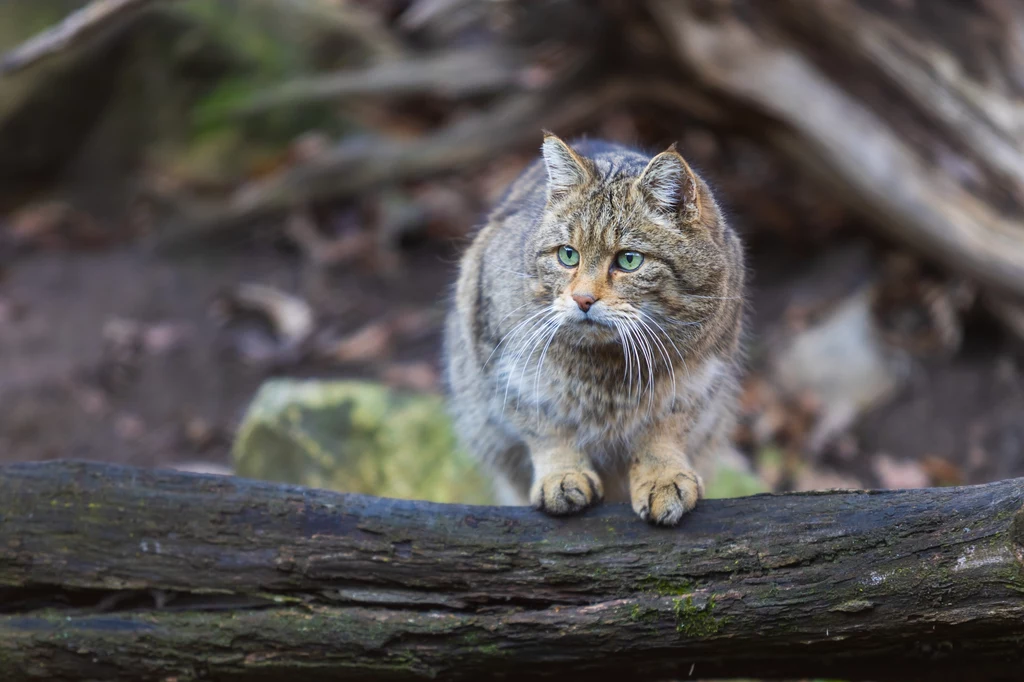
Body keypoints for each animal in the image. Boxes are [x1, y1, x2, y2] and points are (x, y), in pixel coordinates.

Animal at [440, 134, 745, 524]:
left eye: (629, 260)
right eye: (568, 255)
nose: (583, 299)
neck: (606, 366)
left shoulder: (699, 379)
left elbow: (664, 431)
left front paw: (662, 475)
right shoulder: (508, 369)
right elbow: (546, 429)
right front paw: (561, 474)